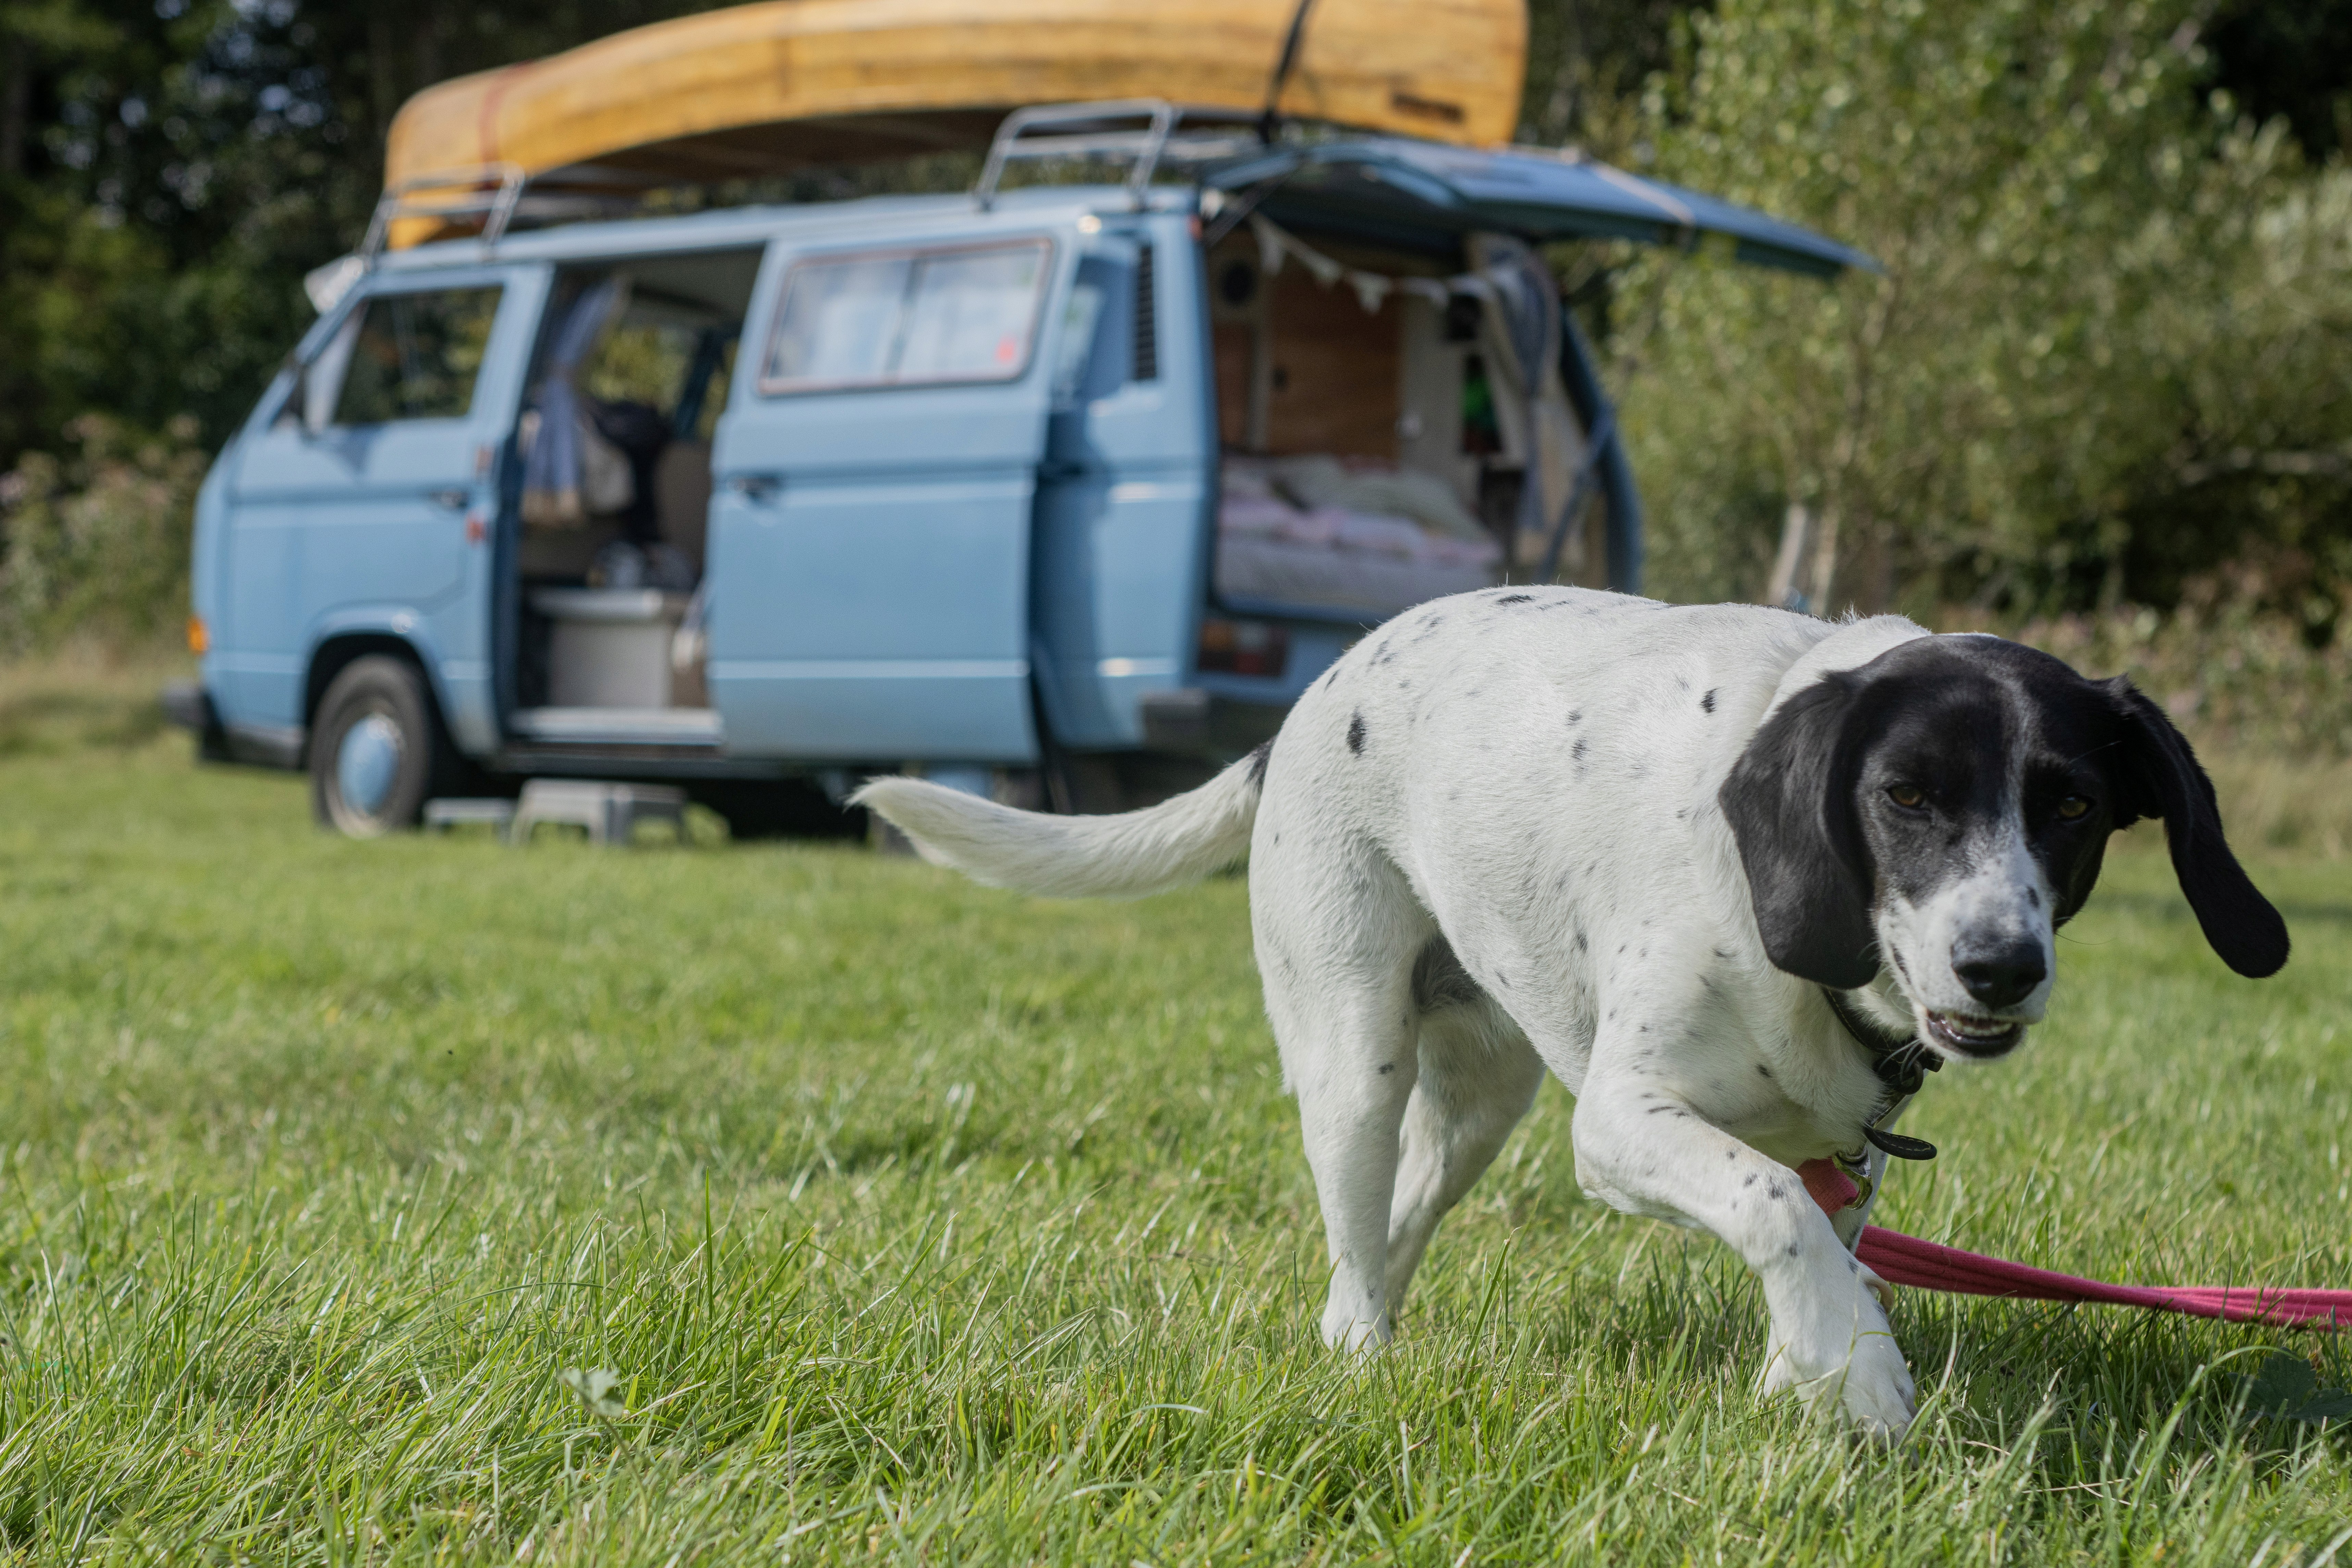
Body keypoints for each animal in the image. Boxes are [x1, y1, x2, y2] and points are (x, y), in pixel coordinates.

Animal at [856, 588, 2286, 1439]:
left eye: (2072, 805)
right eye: (1906, 797)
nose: (1999, 965)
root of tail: (1307, 701)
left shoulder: (1848, 1154)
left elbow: (1820, 1245)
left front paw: (1810, 1366)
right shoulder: (1621, 1122)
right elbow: (1775, 1210)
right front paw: (1864, 1372)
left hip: (1478, 1105)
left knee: (1395, 1232)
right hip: (1358, 1065)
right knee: (1350, 1255)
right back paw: (1358, 1360)